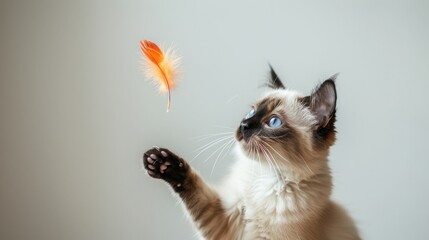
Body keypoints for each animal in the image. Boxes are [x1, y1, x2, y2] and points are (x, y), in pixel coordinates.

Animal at [142, 66, 360, 240]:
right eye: (251, 113)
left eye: (273, 122)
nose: (243, 125)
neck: (267, 176)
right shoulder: (223, 220)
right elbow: (193, 188)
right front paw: (161, 163)